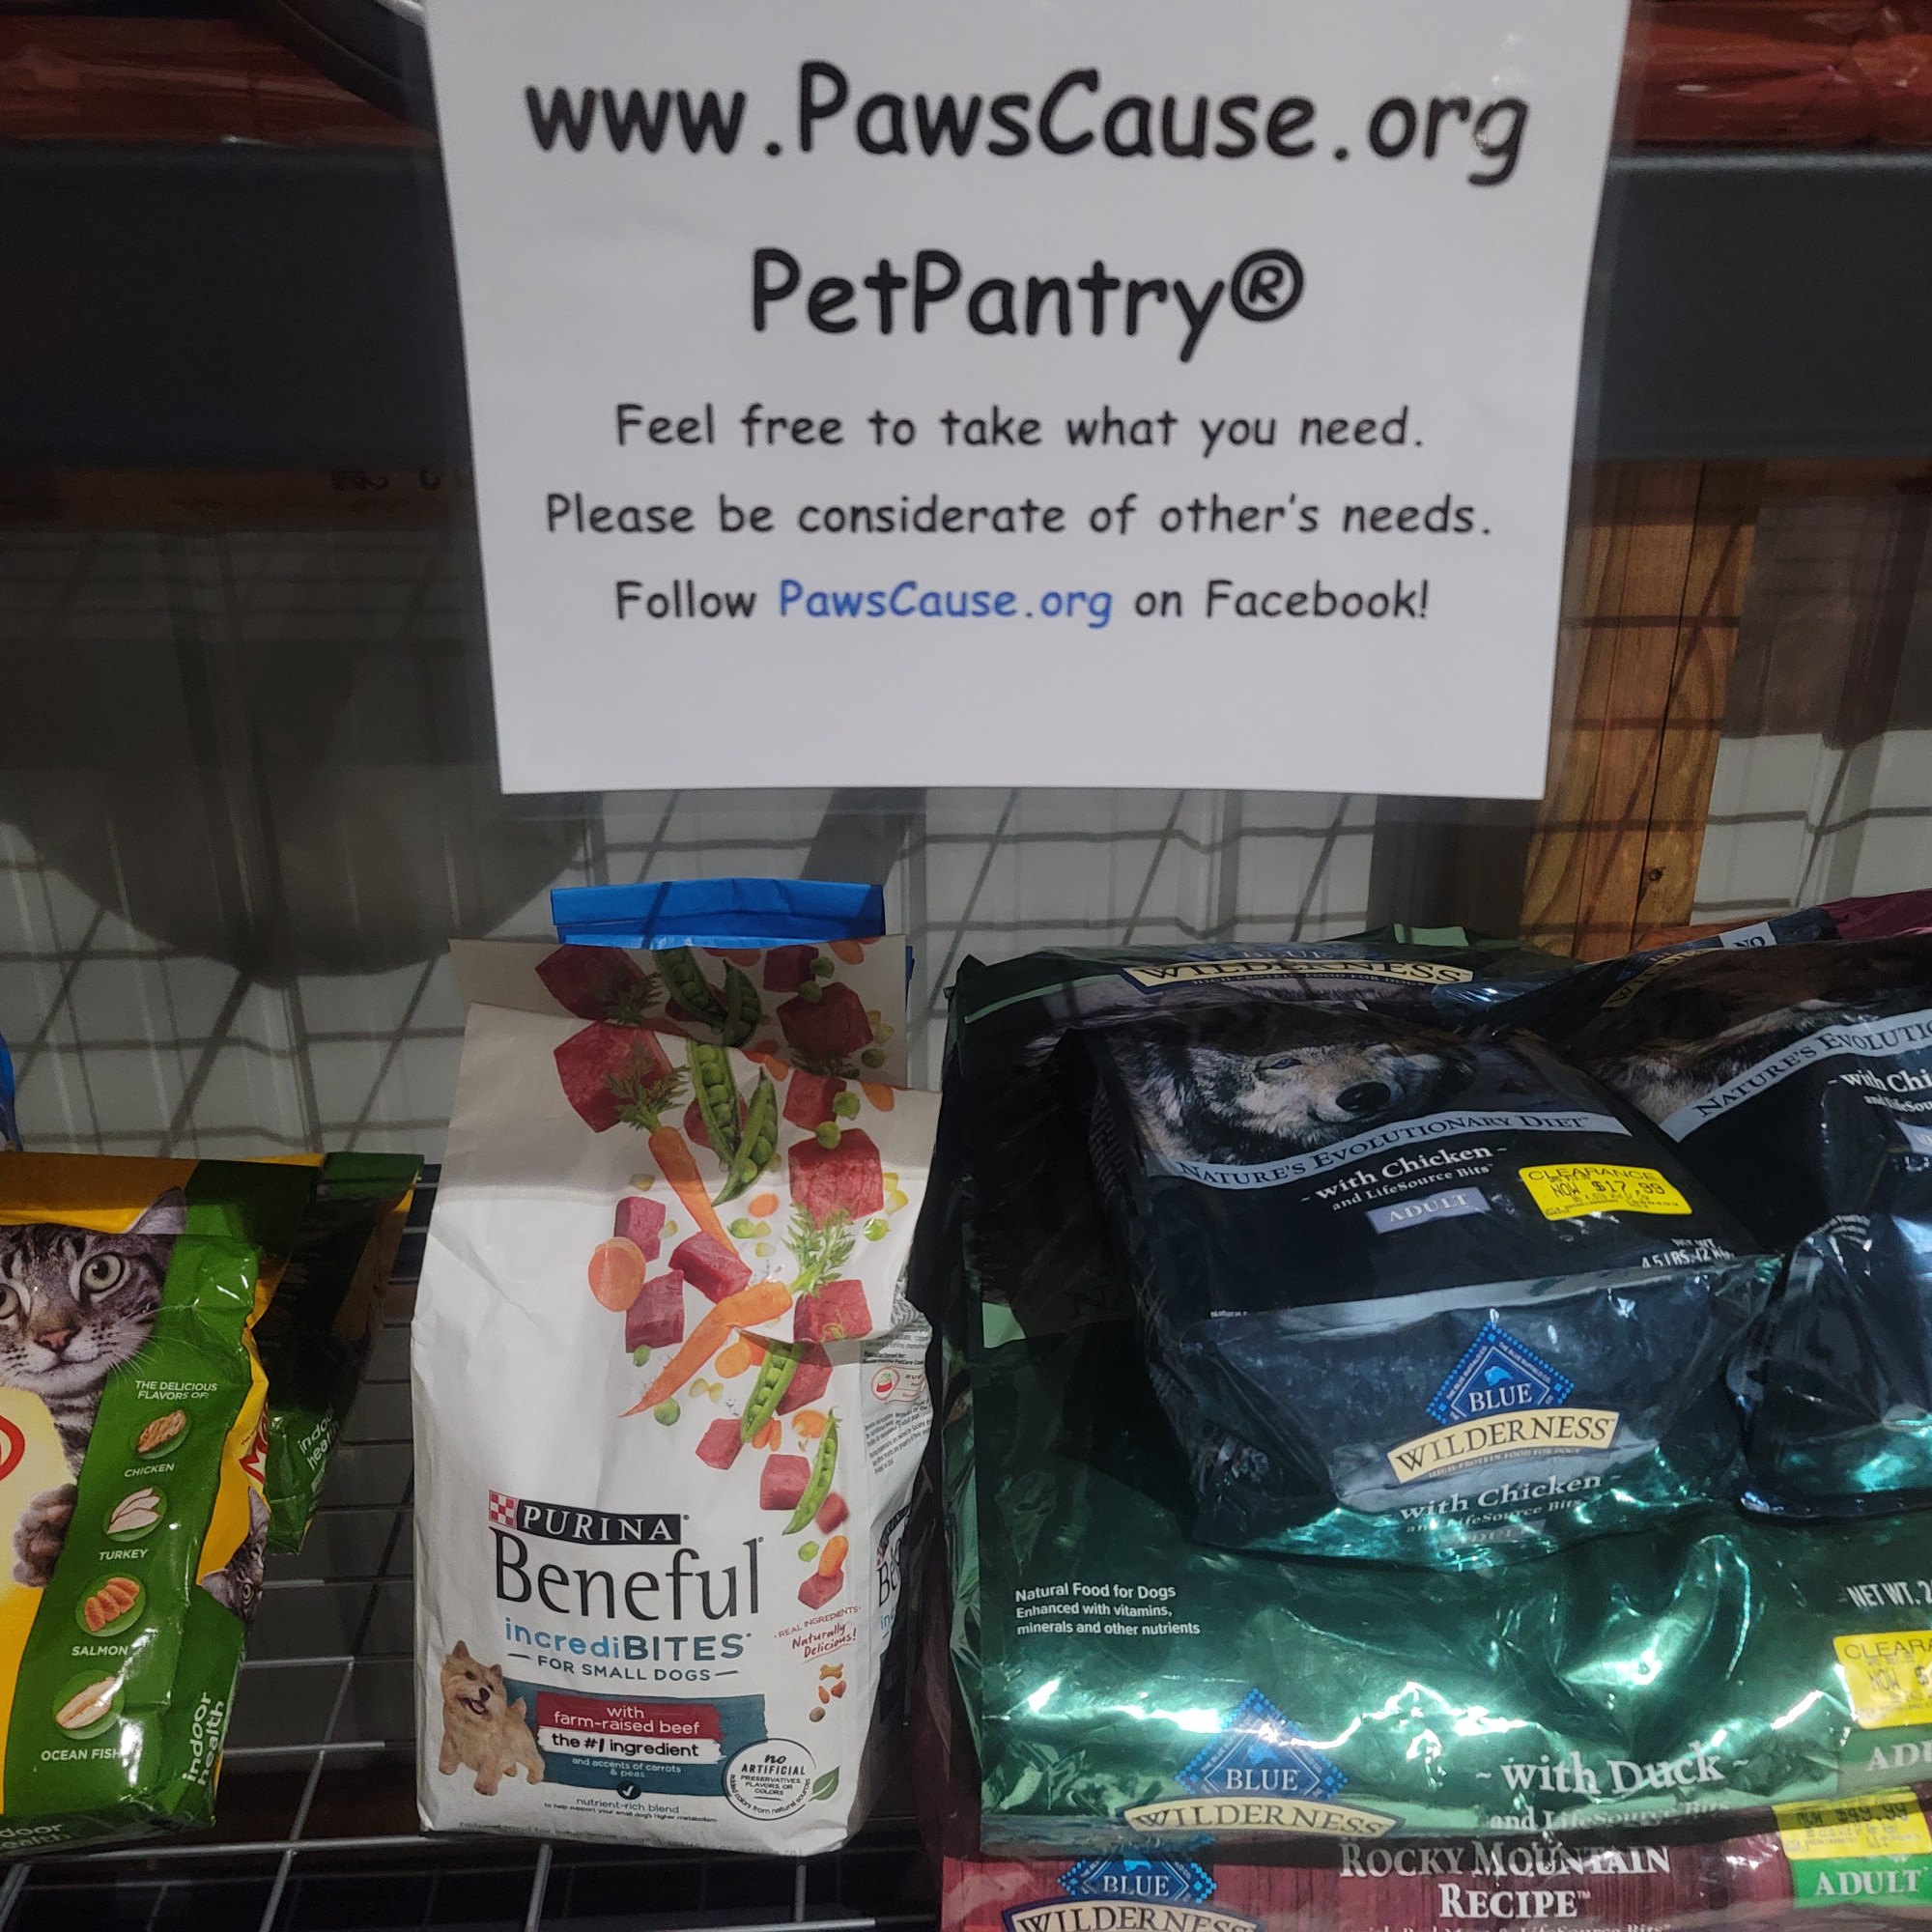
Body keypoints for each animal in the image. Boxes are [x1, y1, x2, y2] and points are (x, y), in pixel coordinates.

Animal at [438, 1642, 544, 1796]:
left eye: (491, 1687)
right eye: (469, 1675)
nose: (485, 1693)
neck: (471, 1723)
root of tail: (516, 1715)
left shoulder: (493, 1752)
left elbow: (490, 1768)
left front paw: (485, 1786)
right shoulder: (450, 1737)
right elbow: (448, 1753)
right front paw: (446, 1768)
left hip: (524, 1749)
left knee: (538, 1761)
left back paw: (534, 1777)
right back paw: (511, 1770)